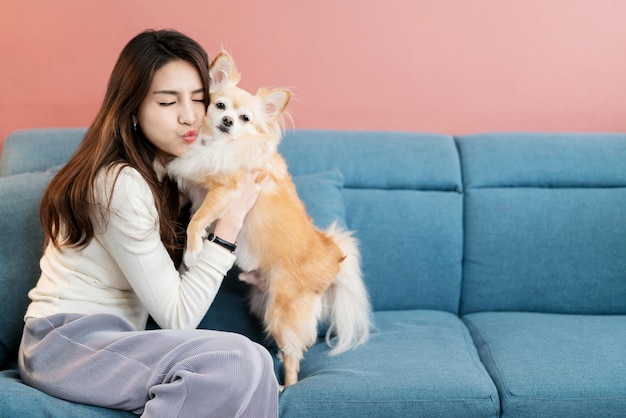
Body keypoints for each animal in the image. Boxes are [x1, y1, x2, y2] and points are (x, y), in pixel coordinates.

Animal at [165, 52, 370, 388]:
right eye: (219, 105)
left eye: (245, 119)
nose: (228, 121)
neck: (217, 146)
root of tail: (332, 258)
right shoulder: (199, 188)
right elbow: (197, 213)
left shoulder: (226, 190)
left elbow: (198, 219)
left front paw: (193, 251)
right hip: (264, 301)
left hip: (282, 312)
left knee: (294, 354)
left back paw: (286, 385)